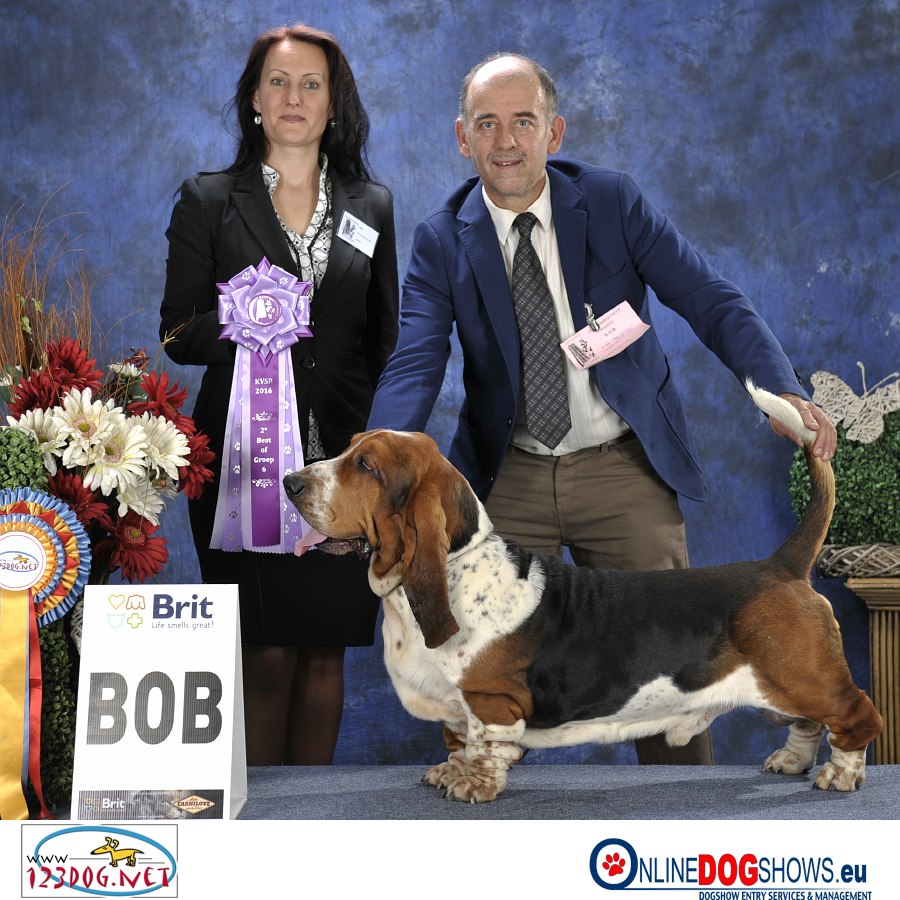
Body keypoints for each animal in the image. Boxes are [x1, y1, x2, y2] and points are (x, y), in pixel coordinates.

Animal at [283, 383, 882, 803]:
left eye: (366, 466)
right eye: (350, 449)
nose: (290, 482)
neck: (450, 569)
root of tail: (781, 565)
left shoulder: (490, 701)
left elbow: (485, 744)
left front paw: (474, 786)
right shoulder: (454, 709)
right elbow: (457, 741)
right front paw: (448, 772)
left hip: (804, 676)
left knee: (857, 715)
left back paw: (839, 774)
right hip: (790, 687)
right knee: (809, 722)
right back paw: (791, 761)